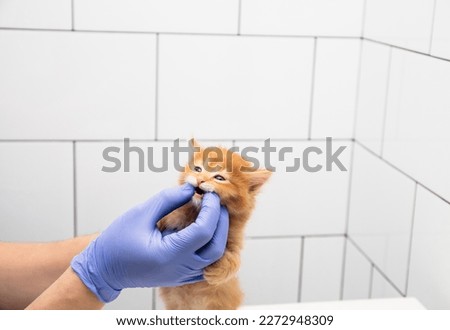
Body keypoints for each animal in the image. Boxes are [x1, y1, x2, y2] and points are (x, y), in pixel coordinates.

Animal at [158, 141, 270, 310]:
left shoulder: (234, 242)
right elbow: (173, 213)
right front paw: (164, 217)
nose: (200, 179)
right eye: (198, 169)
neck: (196, 213)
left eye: (219, 177)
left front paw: (218, 270)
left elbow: (234, 261)